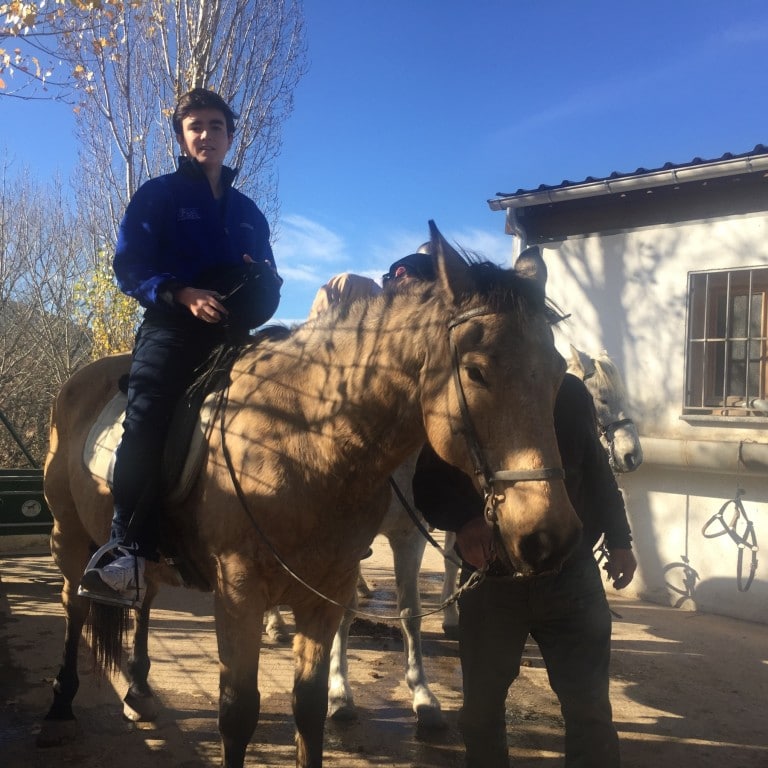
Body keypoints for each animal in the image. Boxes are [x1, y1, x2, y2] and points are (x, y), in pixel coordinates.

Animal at [41, 222, 582, 768]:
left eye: (558, 371)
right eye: (475, 371)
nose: (549, 536)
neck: (308, 437)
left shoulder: (330, 587)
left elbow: (311, 706)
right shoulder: (238, 592)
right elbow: (237, 713)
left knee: (144, 599)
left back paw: (138, 691)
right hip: (69, 535)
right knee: (74, 605)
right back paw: (62, 705)